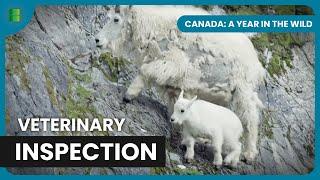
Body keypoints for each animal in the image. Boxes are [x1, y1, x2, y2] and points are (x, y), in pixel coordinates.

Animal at [94, 5, 264, 161]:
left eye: (116, 19)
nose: (97, 40)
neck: (155, 28)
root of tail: (255, 60)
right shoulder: (176, 83)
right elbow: (174, 102)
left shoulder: (173, 64)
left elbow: (146, 70)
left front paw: (129, 94)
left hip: (243, 90)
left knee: (250, 118)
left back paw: (249, 153)